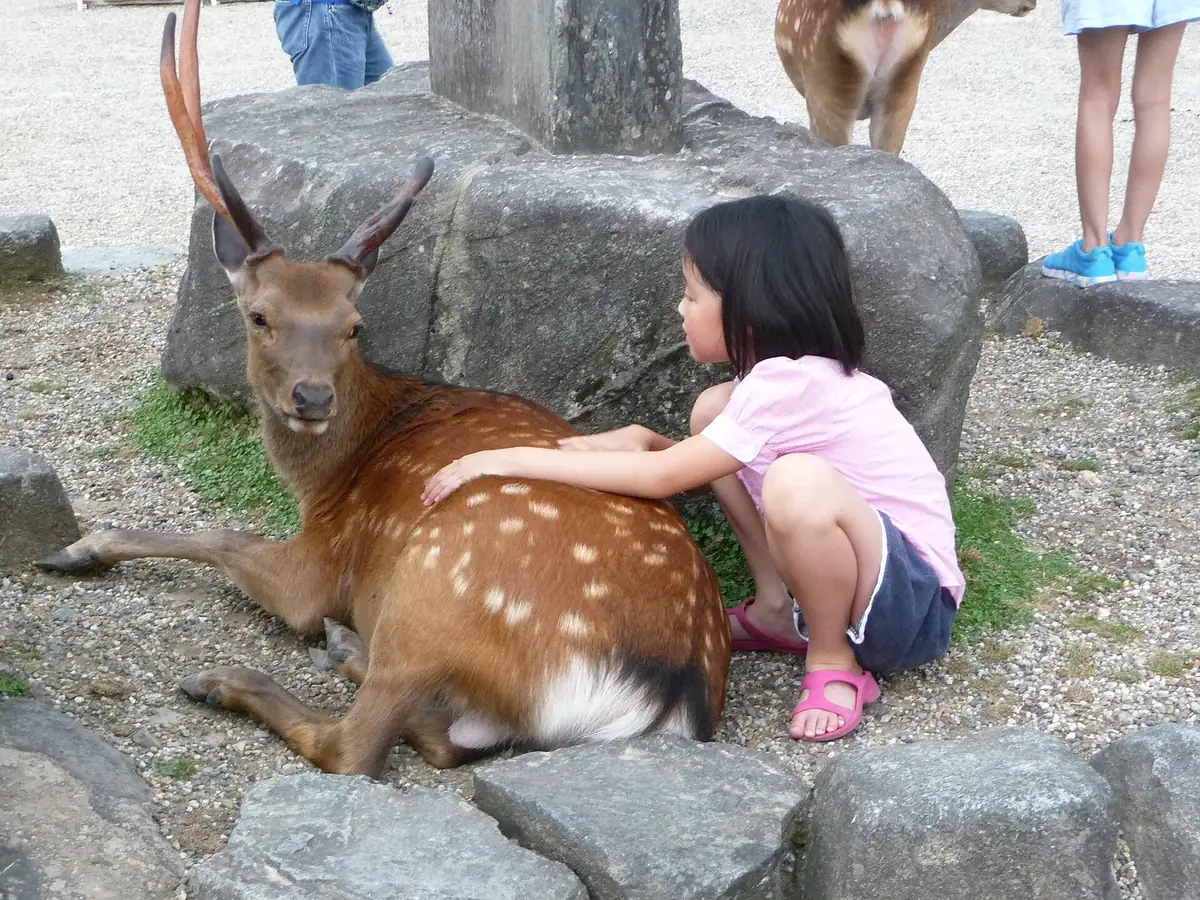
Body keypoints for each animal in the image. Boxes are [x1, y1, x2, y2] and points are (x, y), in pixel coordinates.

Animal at [35, 0, 732, 780]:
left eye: (354, 326)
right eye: (260, 316)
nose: (312, 399)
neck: (330, 478)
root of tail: (661, 695)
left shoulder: (317, 565)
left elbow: (224, 535)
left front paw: (80, 548)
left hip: (430, 595)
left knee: (356, 746)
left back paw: (236, 677)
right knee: (445, 738)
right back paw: (343, 650)